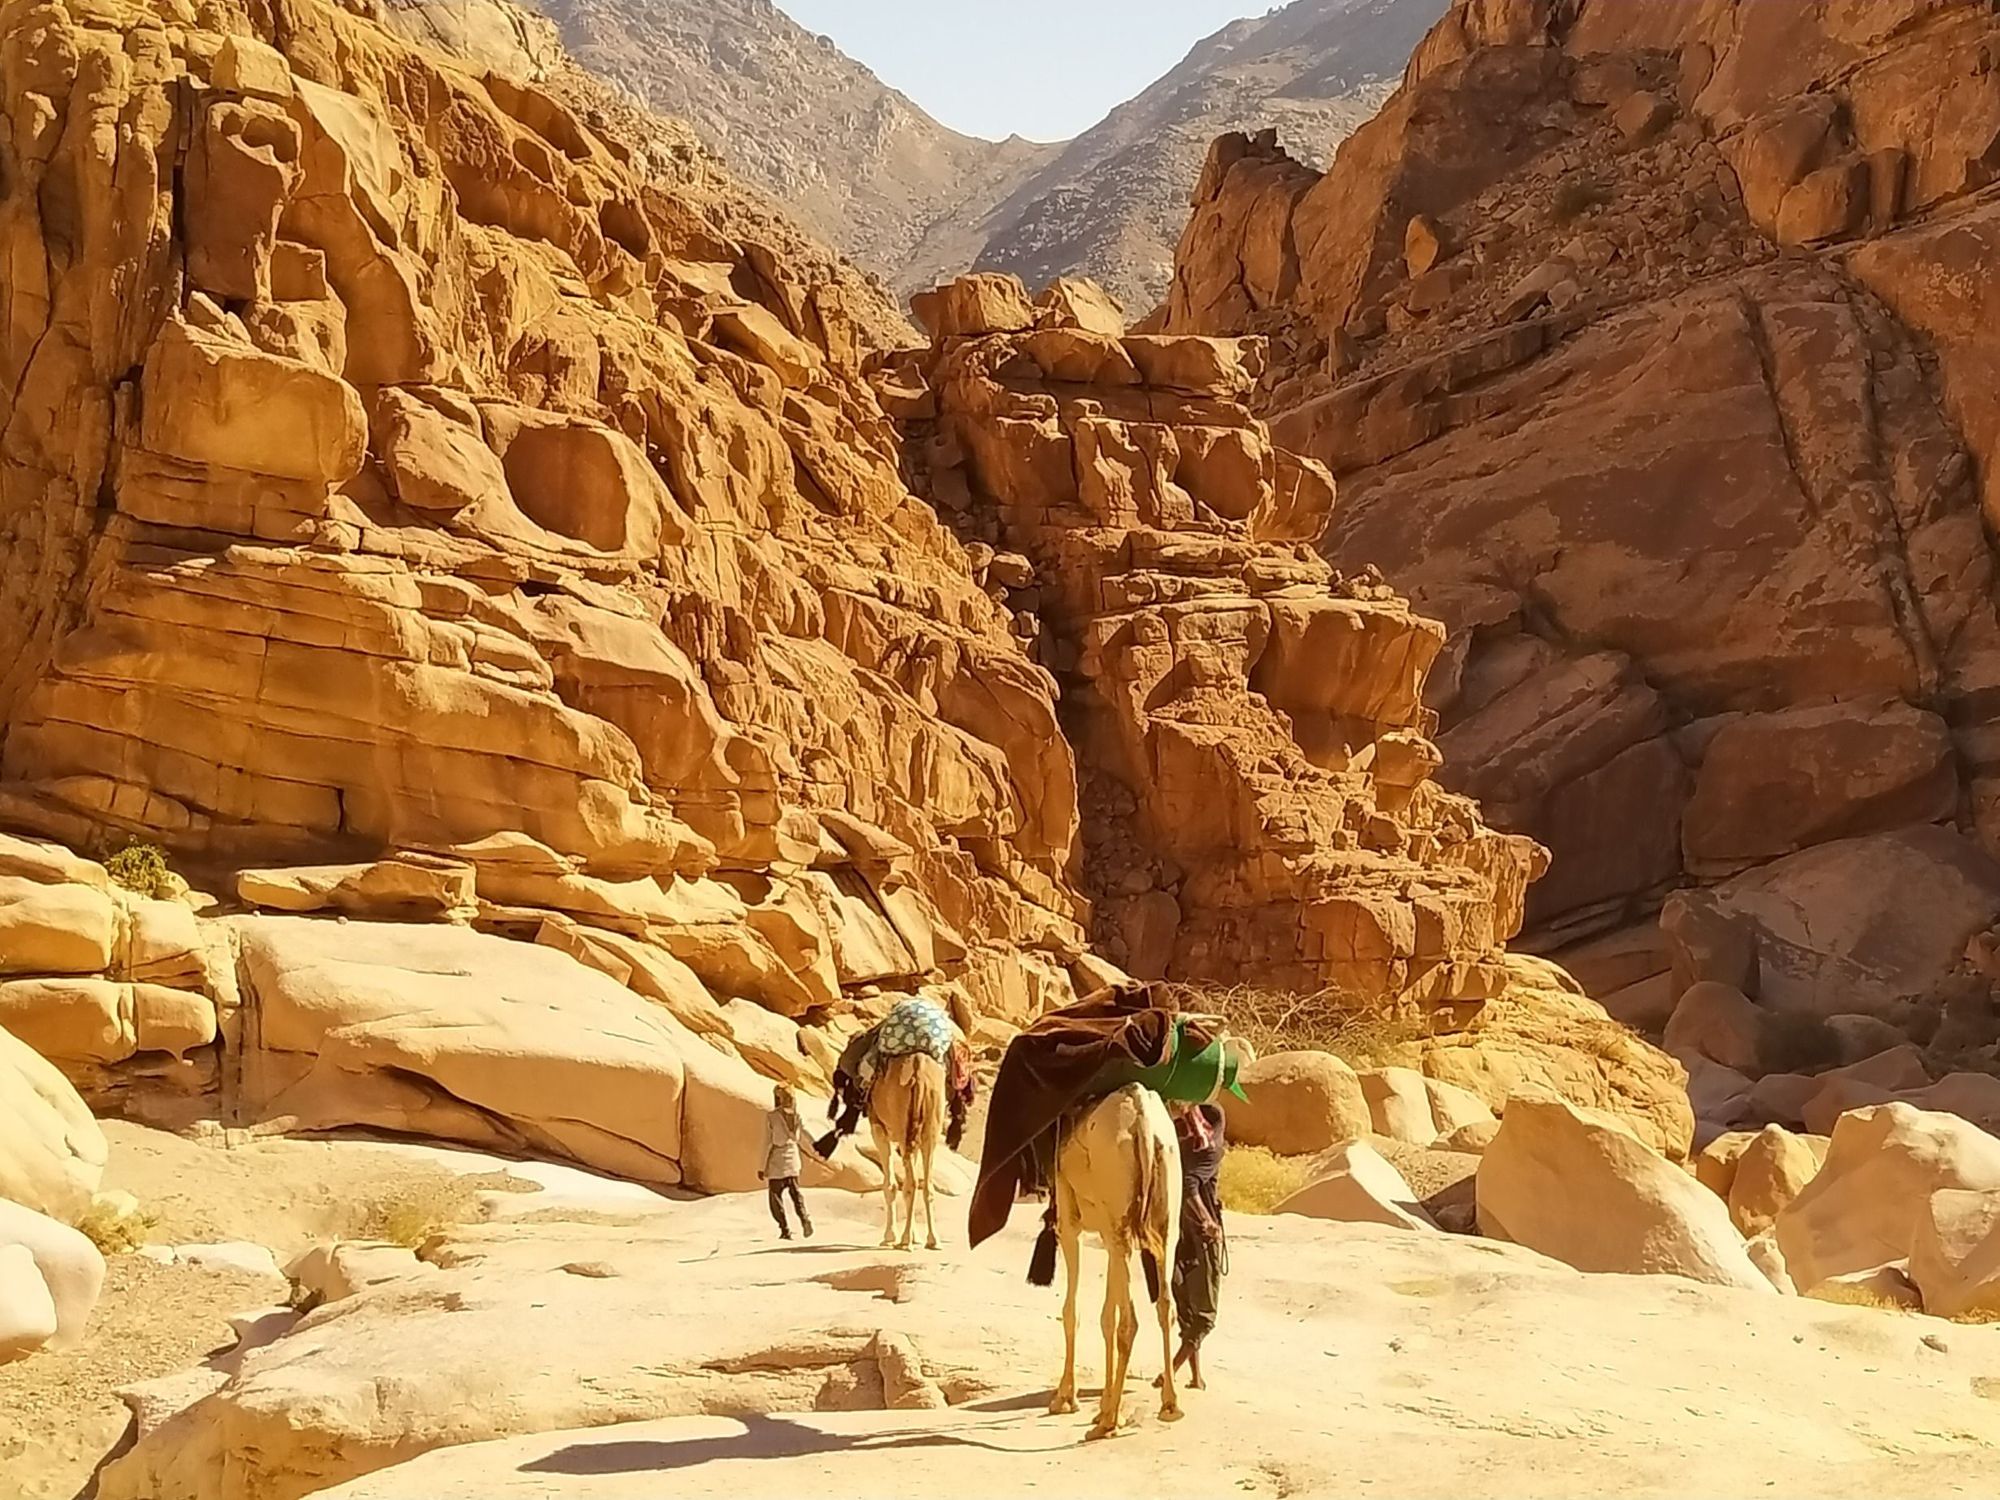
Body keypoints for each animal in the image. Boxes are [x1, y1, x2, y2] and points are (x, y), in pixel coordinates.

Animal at [868, 1048, 944, 1248]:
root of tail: (919, 1068)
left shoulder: (878, 1129)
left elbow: (890, 1185)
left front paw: (889, 1236)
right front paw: (916, 1237)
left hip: (902, 1126)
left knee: (911, 1183)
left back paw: (905, 1241)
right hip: (930, 1127)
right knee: (925, 1183)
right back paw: (933, 1240)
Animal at [1040, 1088, 1176, 1440]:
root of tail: (1143, 1120)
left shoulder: (1069, 1221)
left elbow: (1072, 1312)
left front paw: (1065, 1398)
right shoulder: (1107, 1228)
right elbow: (1106, 1315)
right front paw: (1102, 1404)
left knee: (1130, 1321)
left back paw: (1108, 1423)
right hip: (1164, 1211)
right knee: (1165, 1304)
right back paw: (1169, 1406)